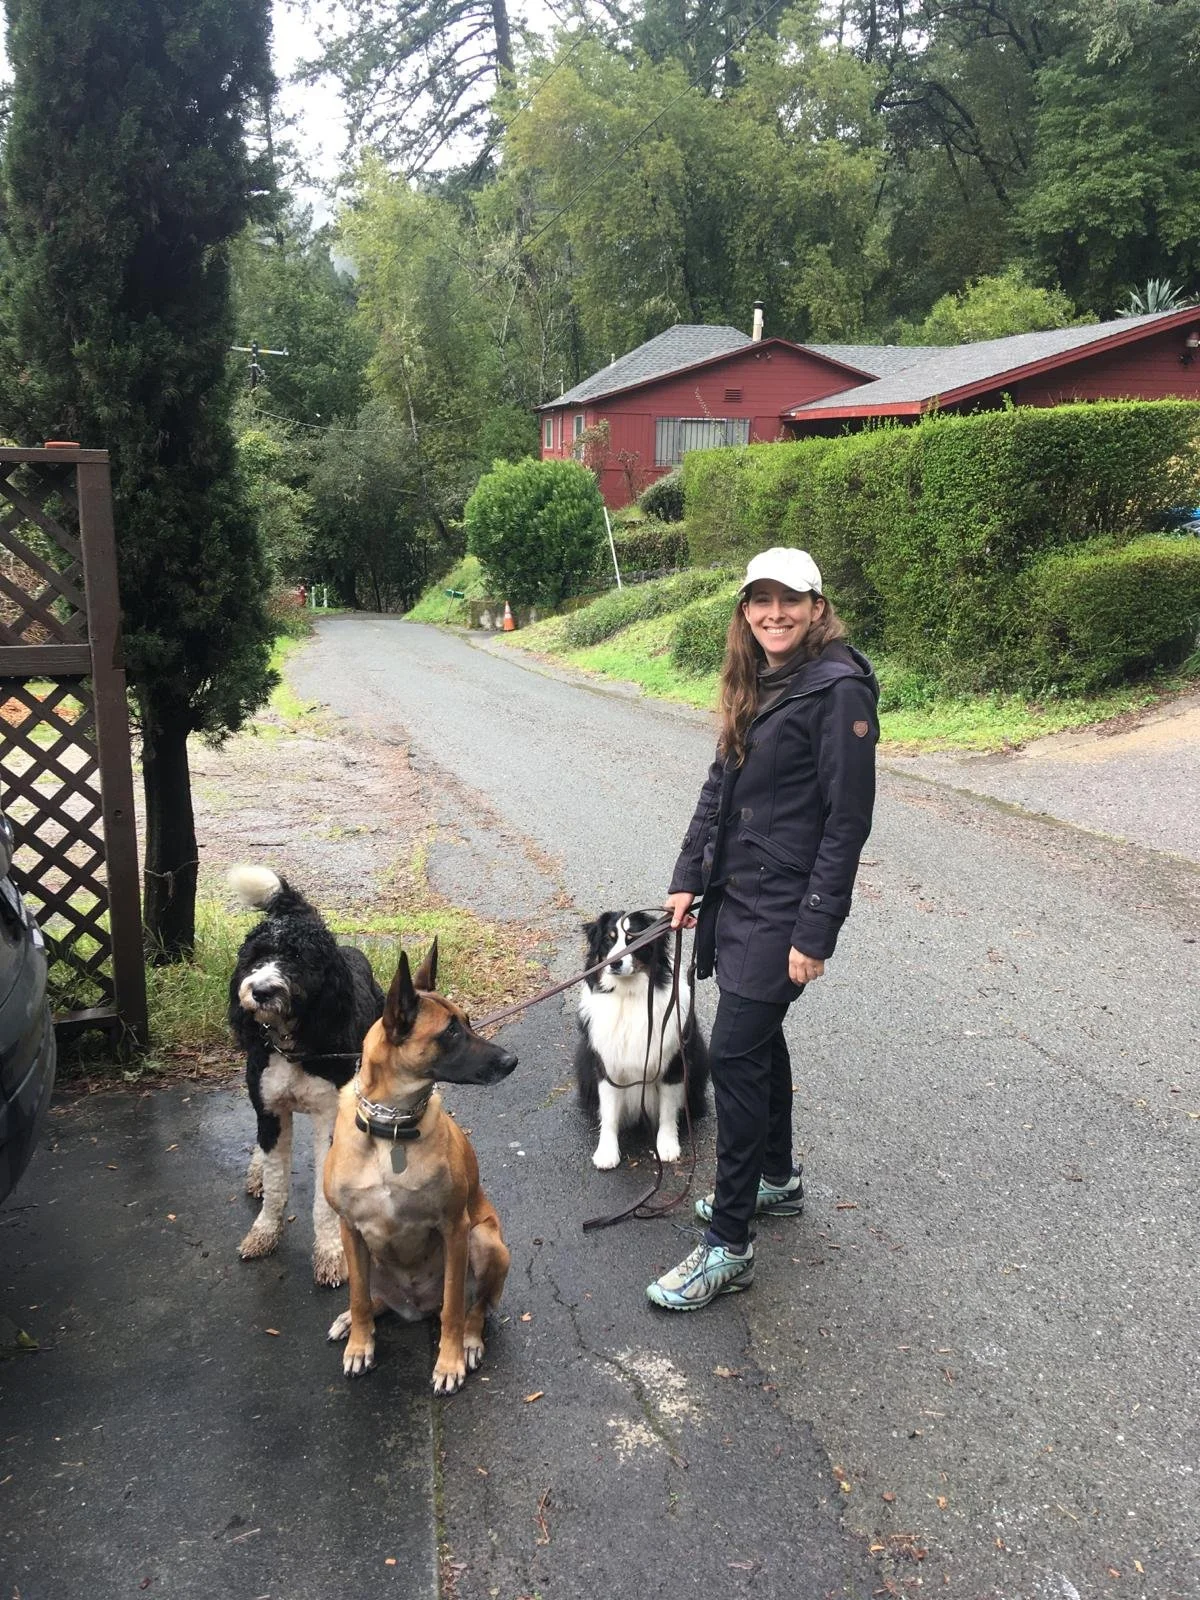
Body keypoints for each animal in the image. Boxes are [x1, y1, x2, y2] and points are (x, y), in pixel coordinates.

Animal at [227, 866, 385, 1285]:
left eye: (299, 959)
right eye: (255, 957)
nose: (260, 991)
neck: (292, 1047)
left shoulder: (328, 1118)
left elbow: (323, 1201)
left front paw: (331, 1253)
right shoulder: (271, 1110)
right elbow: (277, 1184)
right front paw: (264, 1233)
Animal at [323, 939, 516, 1393]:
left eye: (468, 1022)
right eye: (450, 1033)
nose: (511, 1060)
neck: (390, 1125)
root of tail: (414, 1307)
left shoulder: (455, 1227)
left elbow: (453, 1307)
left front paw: (448, 1362)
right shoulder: (350, 1228)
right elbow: (358, 1297)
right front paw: (360, 1344)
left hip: (485, 1241)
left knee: (475, 1307)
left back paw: (469, 1342)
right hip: (369, 1258)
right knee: (372, 1298)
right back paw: (354, 1319)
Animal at [575, 909, 709, 1170]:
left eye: (634, 941)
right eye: (608, 939)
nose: (615, 963)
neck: (629, 995)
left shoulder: (672, 1063)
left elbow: (668, 1110)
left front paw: (667, 1146)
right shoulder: (607, 1065)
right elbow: (609, 1111)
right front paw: (607, 1152)